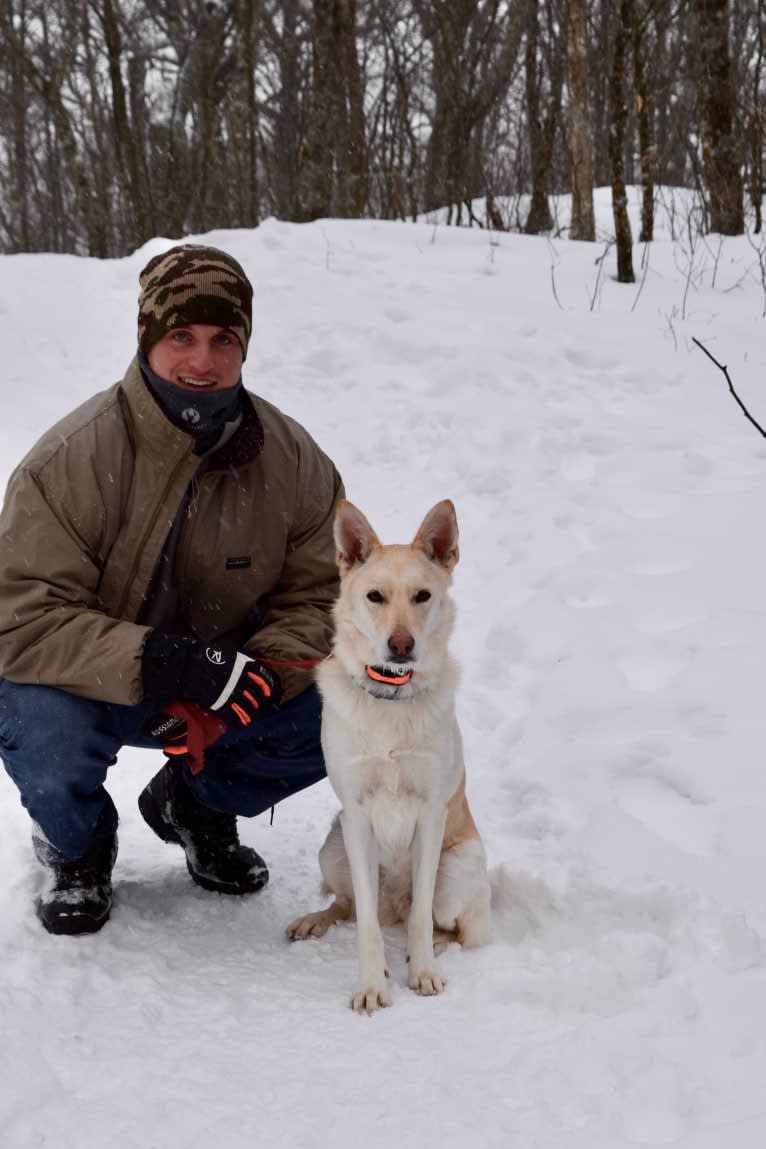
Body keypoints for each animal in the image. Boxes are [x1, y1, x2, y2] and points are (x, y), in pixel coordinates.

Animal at [287, 498, 491, 1011]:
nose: (401, 646)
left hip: (461, 865)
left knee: (450, 927)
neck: (392, 698)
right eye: (375, 596)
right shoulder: (357, 815)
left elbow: (421, 917)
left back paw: (429, 949)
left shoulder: (432, 812)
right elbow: (365, 924)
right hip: (333, 847)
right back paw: (316, 921)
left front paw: (422, 972)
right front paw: (371, 984)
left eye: (423, 596)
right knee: (352, 907)